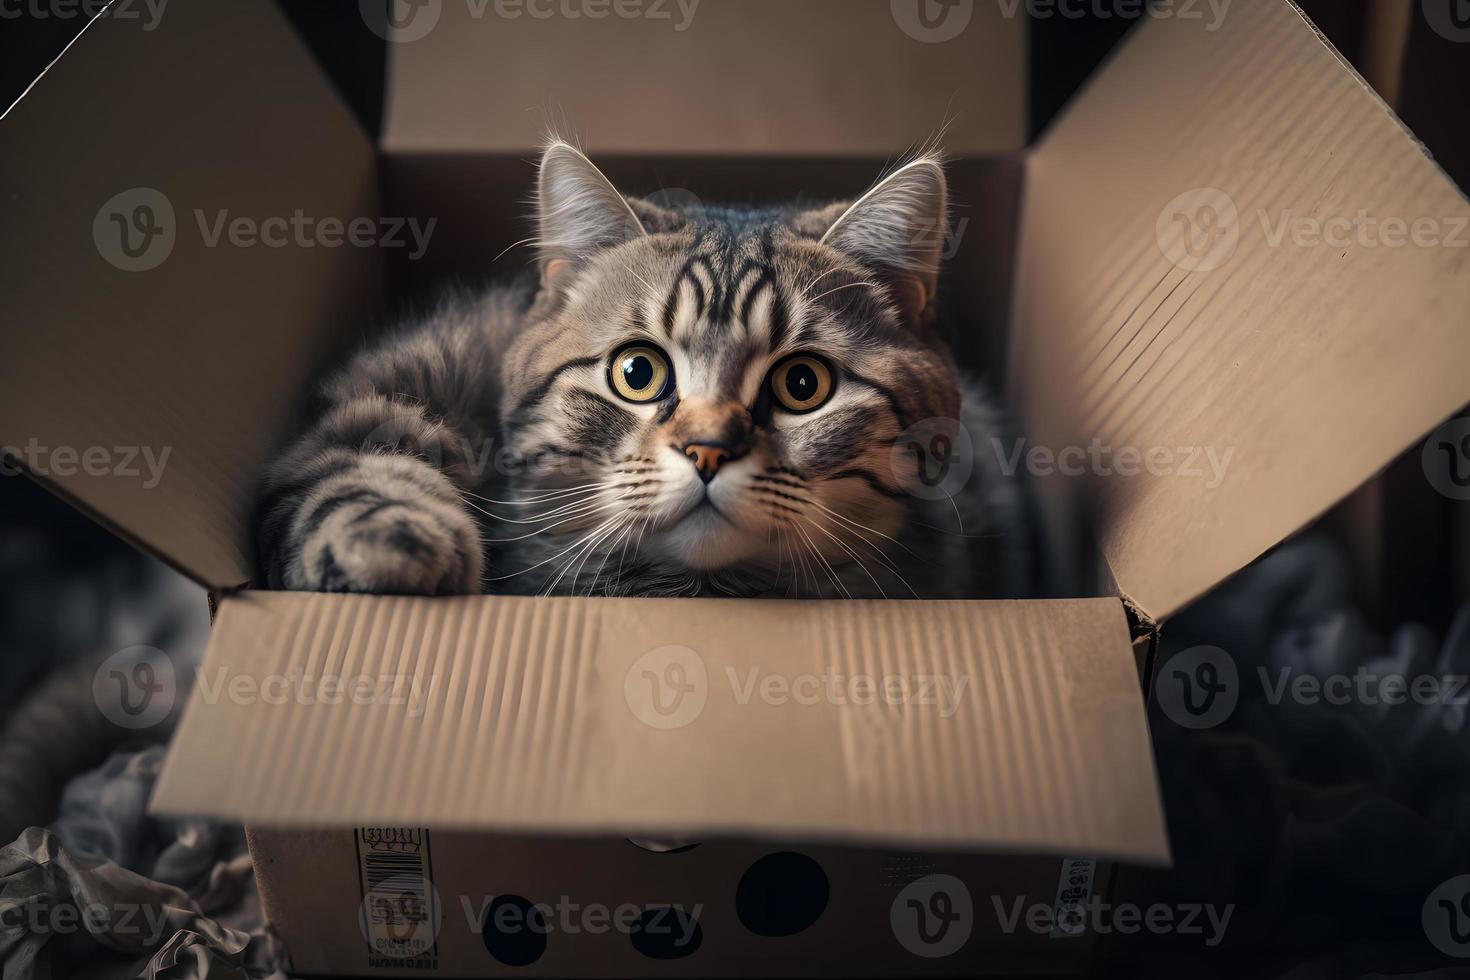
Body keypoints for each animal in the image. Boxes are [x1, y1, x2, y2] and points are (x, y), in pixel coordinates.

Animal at [255, 142, 1034, 602]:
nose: (708, 450)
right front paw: (396, 547)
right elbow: (357, 462)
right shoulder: (390, 390)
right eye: (638, 372)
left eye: (802, 385)